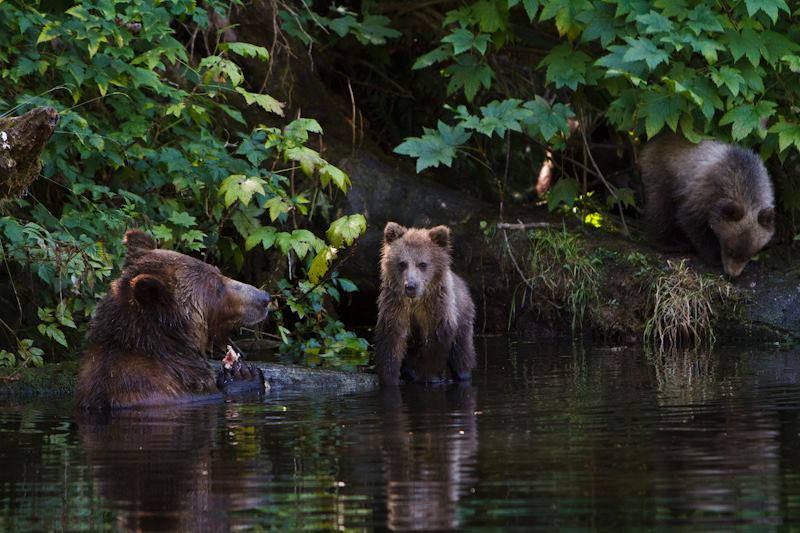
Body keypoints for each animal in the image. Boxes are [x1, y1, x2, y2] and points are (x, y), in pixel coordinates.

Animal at [374, 222, 475, 386]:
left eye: (422, 264)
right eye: (402, 263)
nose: (410, 286)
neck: (416, 301)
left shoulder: (437, 307)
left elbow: (437, 340)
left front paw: (429, 376)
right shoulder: (396, 305)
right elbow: (392, 339)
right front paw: (389, 377)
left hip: (463, 316)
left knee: (462, 351)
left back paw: (463, 373)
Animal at [640, 134, 775, 277]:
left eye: (750, 254)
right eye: (730, 249)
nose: (732, 274)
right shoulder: (704, 193)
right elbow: (692, 222)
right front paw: (714, 257)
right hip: (663, 174)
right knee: (660, 208)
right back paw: (670, 244)